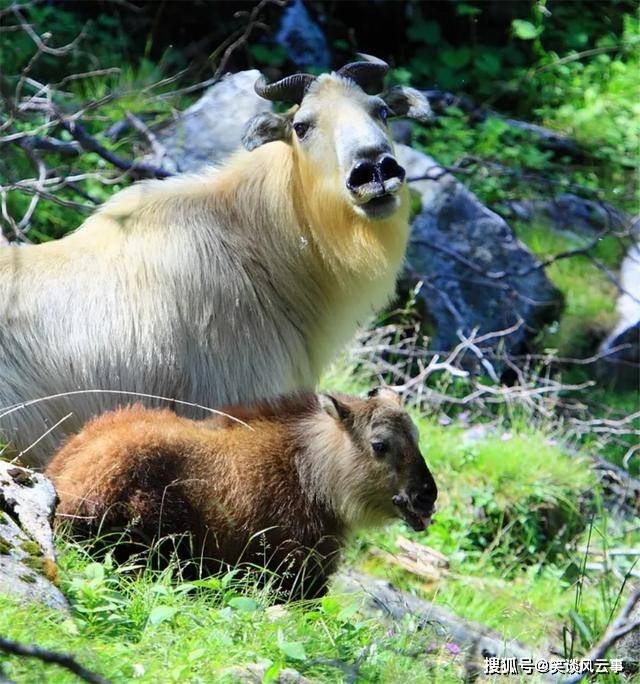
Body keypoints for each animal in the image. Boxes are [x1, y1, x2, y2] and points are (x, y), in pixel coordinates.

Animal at [47, 388, 438, 600]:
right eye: (380, 444)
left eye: (418, 438)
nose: (426, 497)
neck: (310, 474)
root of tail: (69, 493)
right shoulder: (297, 576)